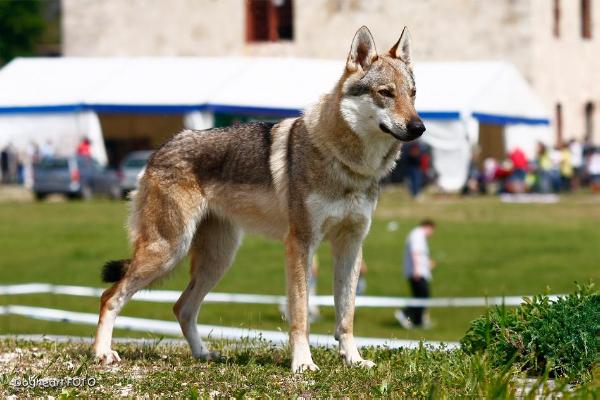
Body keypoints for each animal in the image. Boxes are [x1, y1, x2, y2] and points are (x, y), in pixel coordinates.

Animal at [94, 25, 424, 372]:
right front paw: (303, 364)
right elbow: (301, 315)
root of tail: (157, 151)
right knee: (109, 297)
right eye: (386, 93)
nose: (419, 127)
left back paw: (204, 354)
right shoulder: (300, 244)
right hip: (169, 251)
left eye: (413, 93)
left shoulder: (351, 245)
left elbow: (346, 315)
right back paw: (103, 353)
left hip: (217, 261)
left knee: (181, 308)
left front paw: (354, 360)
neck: (349, 165)